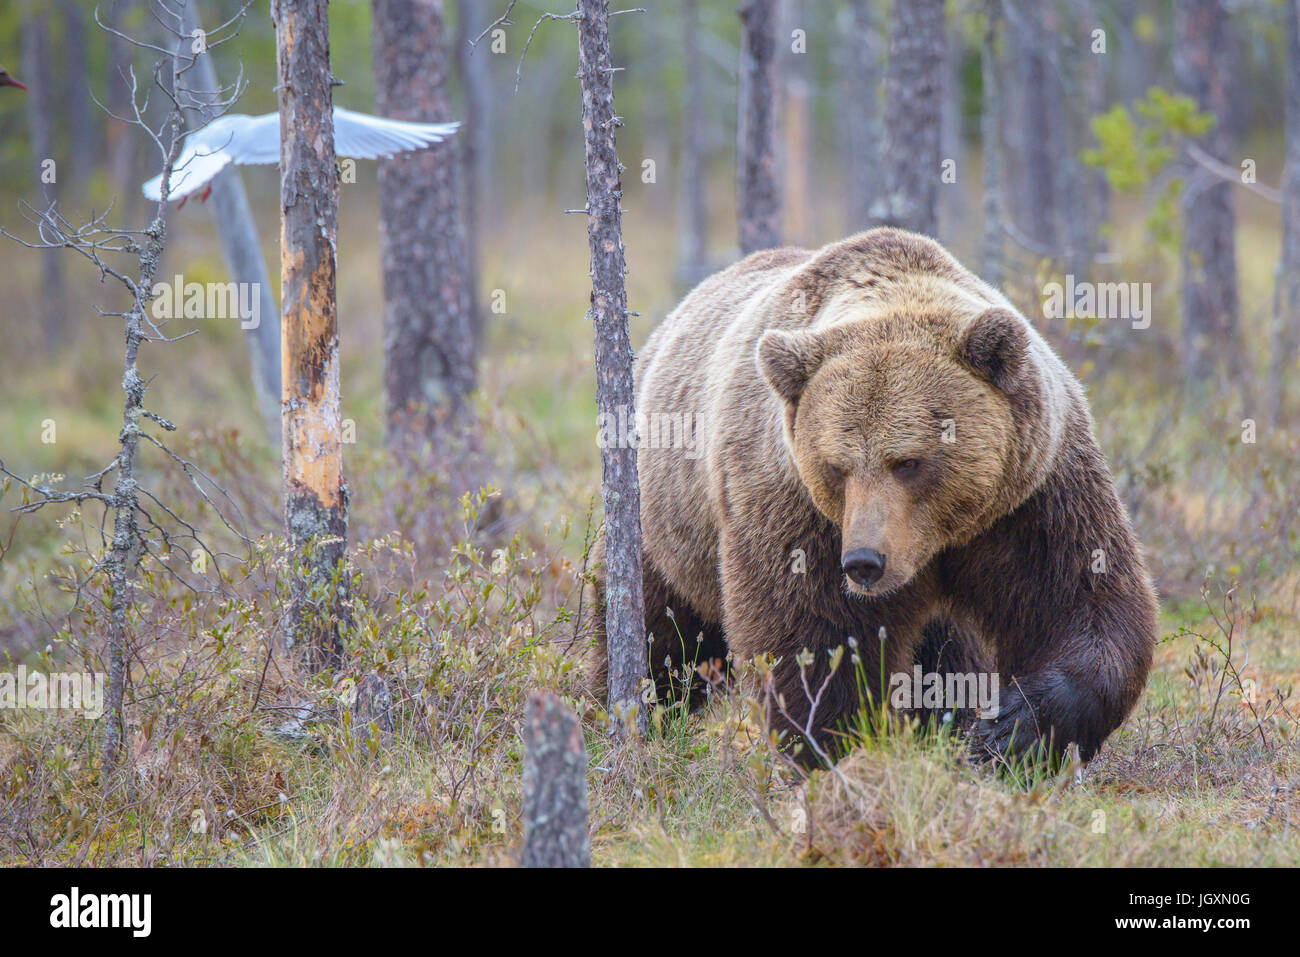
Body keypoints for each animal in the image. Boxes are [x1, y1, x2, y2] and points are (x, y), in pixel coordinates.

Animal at [590, 226, 1159, 764]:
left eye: (908, 462)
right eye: (836, 466)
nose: (865, 561)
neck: (938, 541)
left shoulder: (1029, 493)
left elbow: (1080, 598)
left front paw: (1012, 730)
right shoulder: (794, 507)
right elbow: (813, 640)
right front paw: (836, 748)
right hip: (666, 529)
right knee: (660, 634)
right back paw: (620, 716)